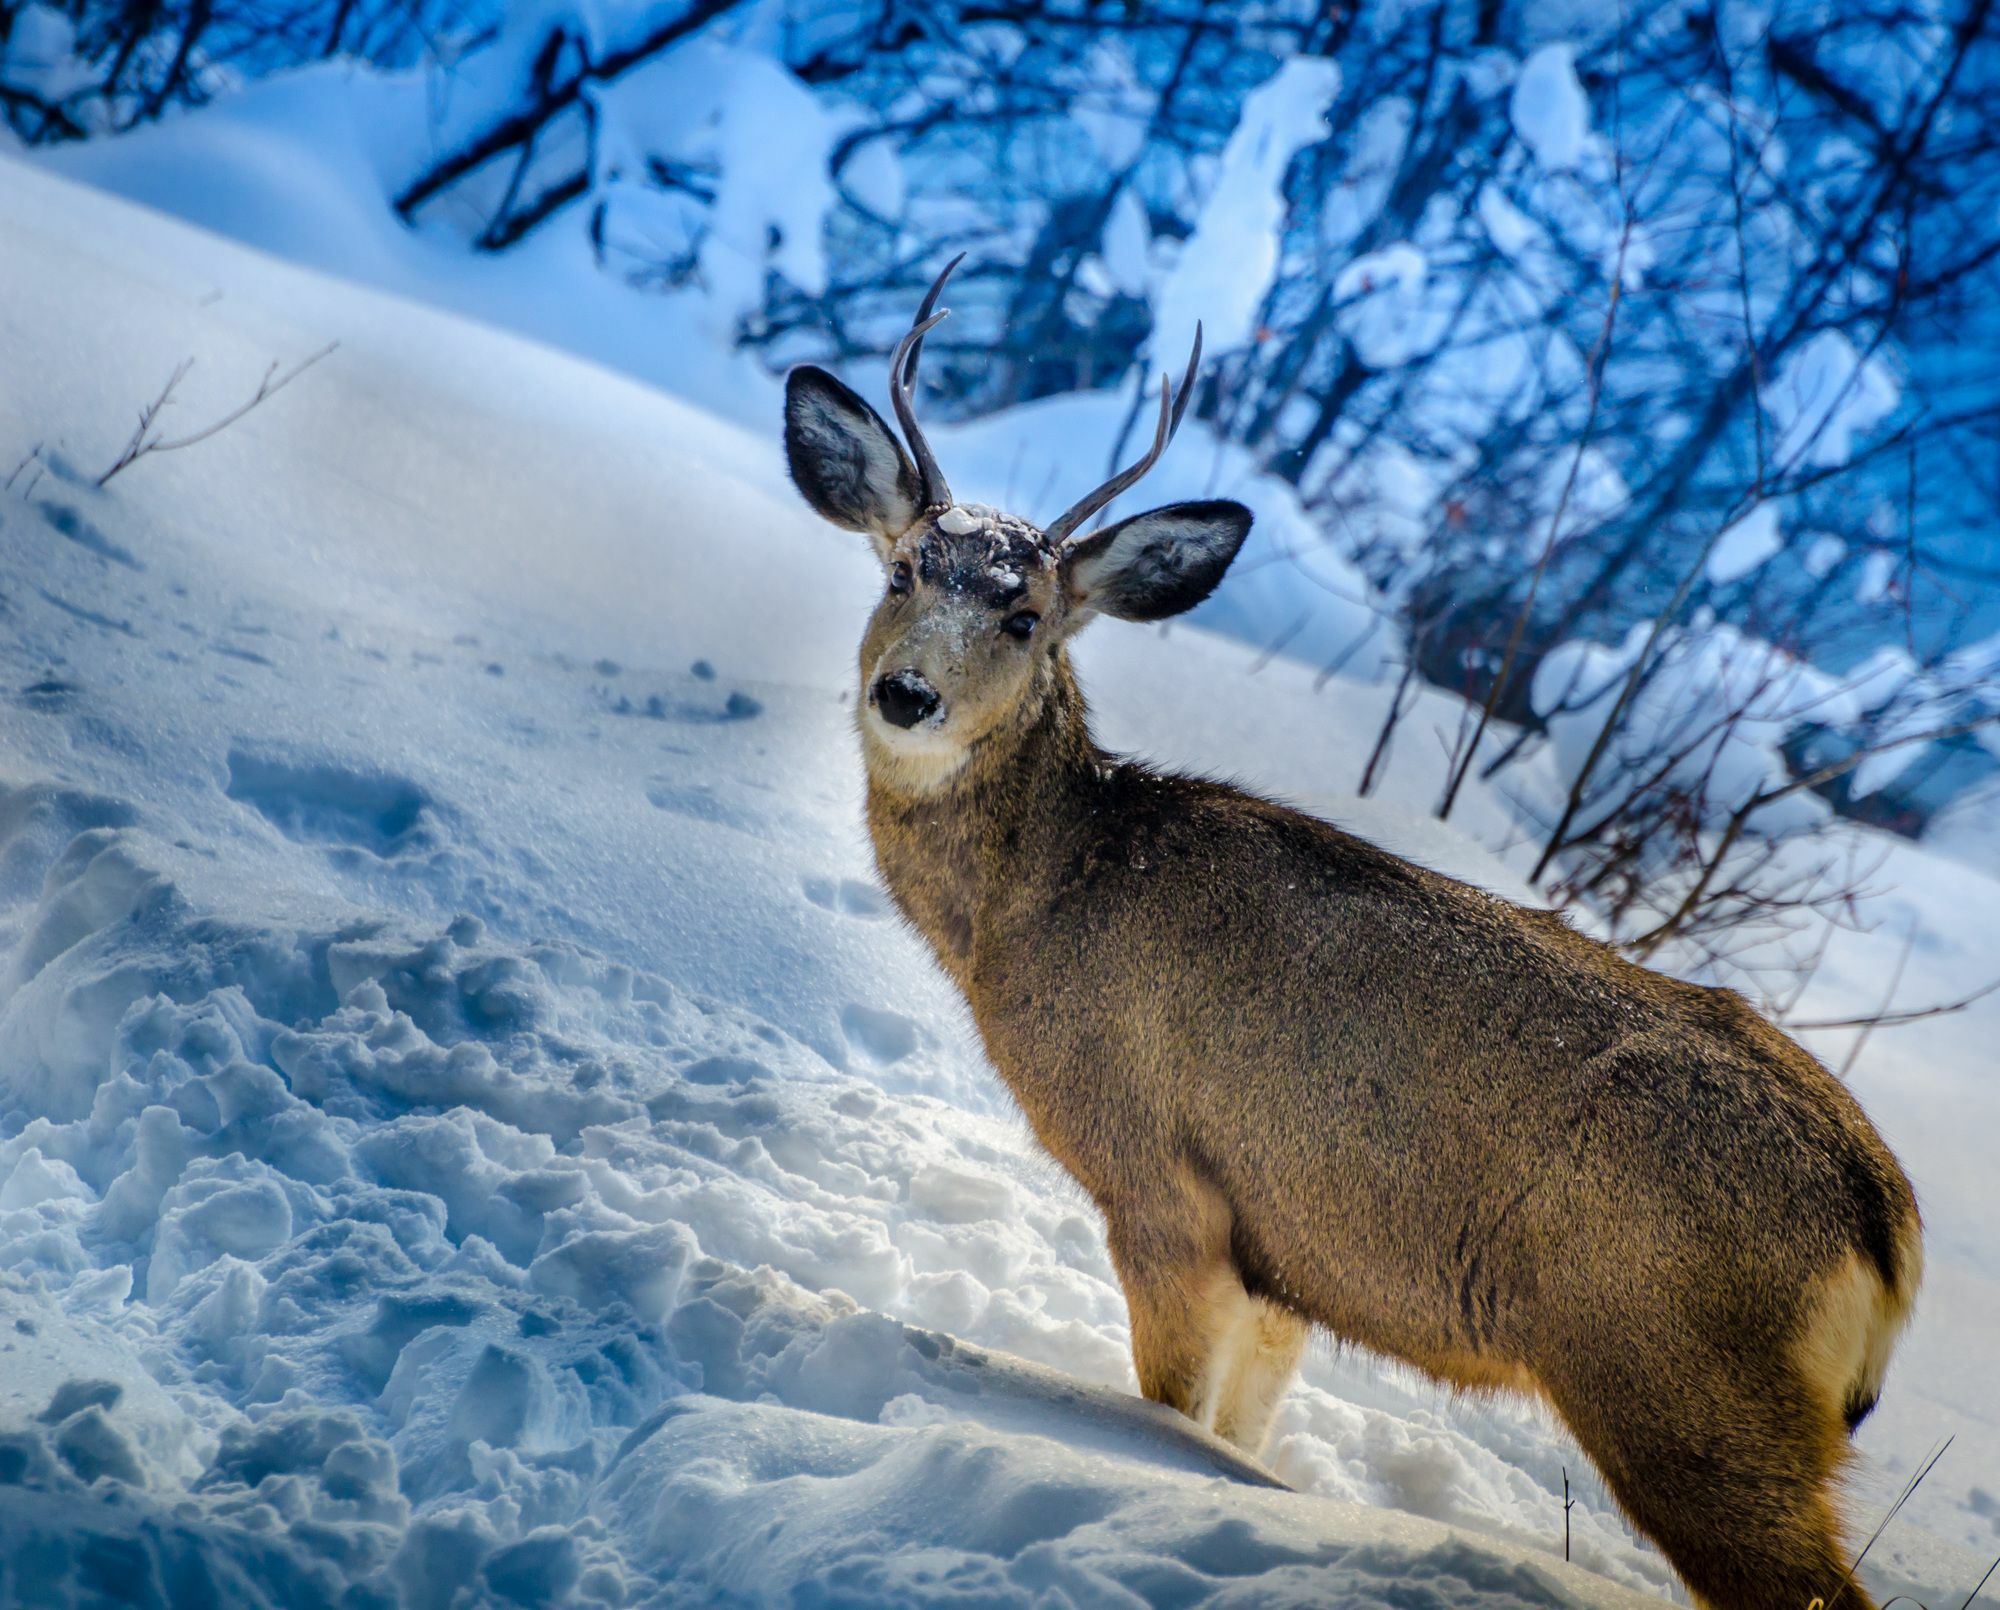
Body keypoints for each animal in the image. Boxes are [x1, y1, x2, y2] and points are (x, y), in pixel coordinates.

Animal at [780, 254, 1920, 1608]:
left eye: (1024, 618)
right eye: (901, 571)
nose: (905, 693)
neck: (1043, 899)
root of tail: (1882, 1224)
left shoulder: (1164, 1184)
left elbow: (1166, 1410)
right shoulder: (1284, 1256)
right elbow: (1238, 1432)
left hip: (1678, 1380)